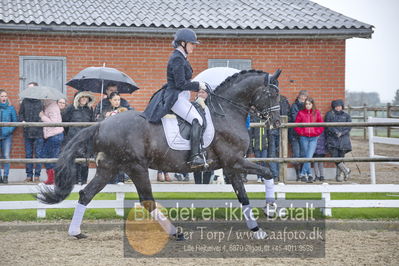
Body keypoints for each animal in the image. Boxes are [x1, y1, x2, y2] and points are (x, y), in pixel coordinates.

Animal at [37, 68, 282, 239]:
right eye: (271, 94)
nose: (277, 123)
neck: (227, 113)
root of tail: (101, 125)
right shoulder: (235, 161)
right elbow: (266, 174)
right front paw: (269, 212)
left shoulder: (231, 166)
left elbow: (246, 193)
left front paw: (259, 225)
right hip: (136, 167)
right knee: (147, 201)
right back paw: (175, 232)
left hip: (109, 167)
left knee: (86, 194)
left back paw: (75, 232)